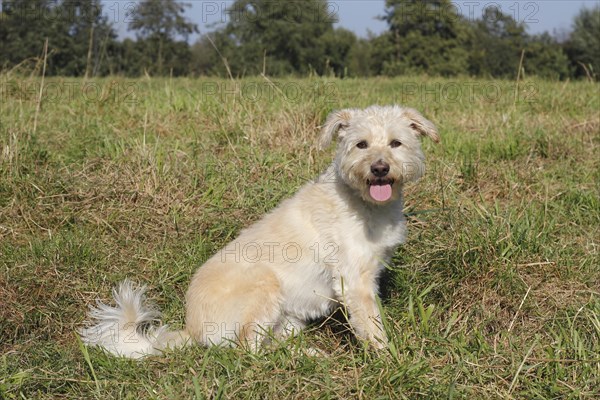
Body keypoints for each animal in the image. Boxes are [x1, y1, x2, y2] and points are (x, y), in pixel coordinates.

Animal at [79, 104, 438, 358]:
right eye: (361, 144)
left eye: (396, 143)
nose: (379, 168)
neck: (362, 202)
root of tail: (192, 330)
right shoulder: (353, 281)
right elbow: (371, 326)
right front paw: (388, 359)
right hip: (264, 284)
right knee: (248, 350)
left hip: (289, 318)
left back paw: (305, 354)